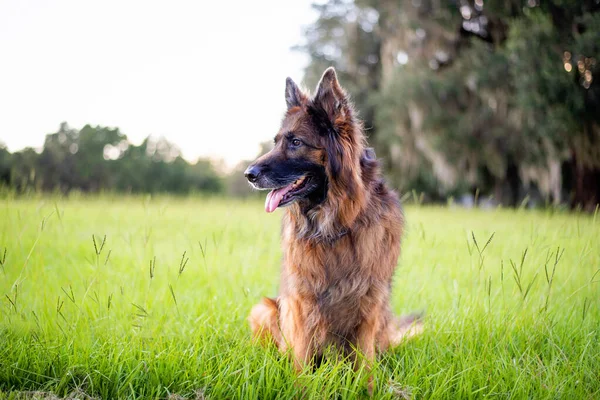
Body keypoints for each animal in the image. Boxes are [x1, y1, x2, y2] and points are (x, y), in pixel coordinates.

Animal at [244, 67, 422, 390]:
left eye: (296, 142)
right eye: (276, 141)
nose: (247, 174)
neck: (334, 224)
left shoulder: (369, 304)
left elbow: (365, 364)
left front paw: (369, 391)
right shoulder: (302, 302)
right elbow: (301, 363)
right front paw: (301, 391)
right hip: (265, 308)